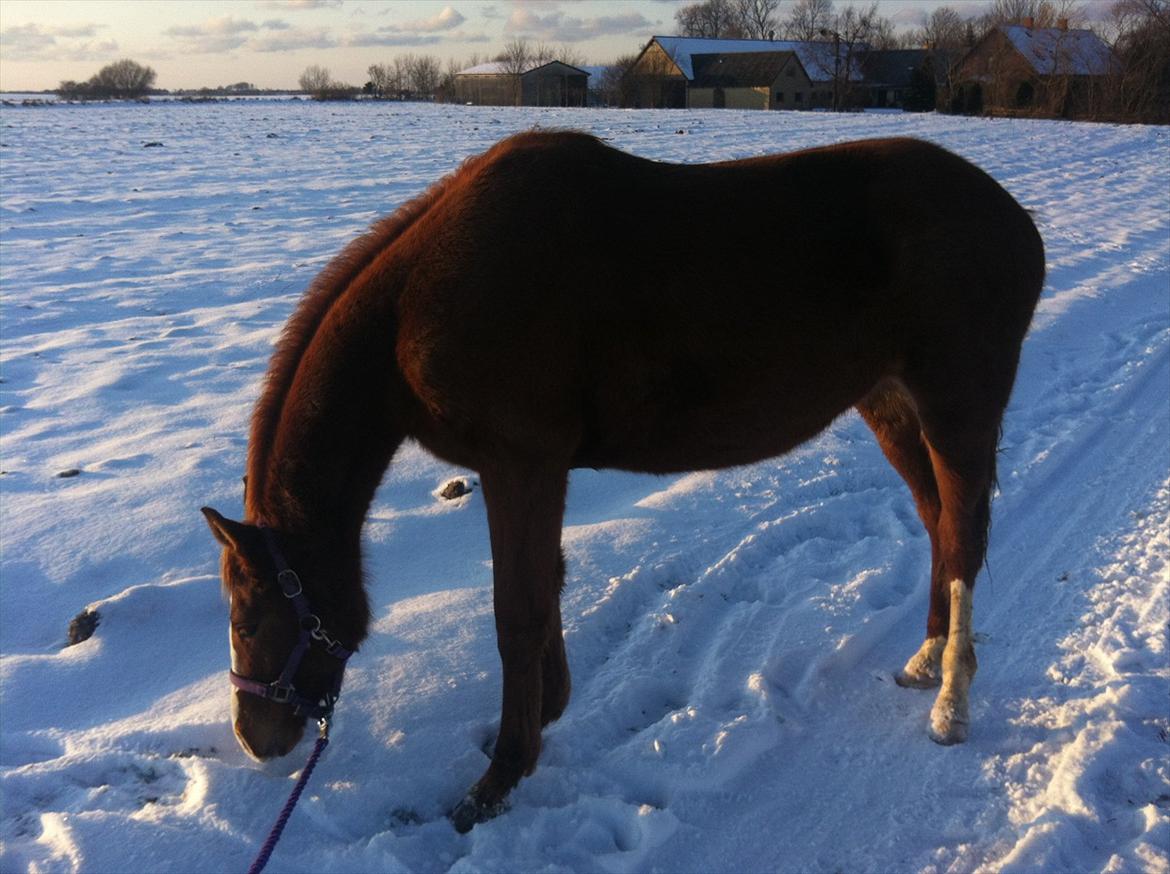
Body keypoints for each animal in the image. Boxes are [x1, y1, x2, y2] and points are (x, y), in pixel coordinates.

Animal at [201, 131, 1043, 833]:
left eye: (247, 614)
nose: (255, 739)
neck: (422, 299)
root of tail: (1015, 221)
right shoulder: (534, 471)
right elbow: (546, 587)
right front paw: (547, 712)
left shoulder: (520, 462)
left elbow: (518, 612)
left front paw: (500, 777)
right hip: (890, 404)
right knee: (939, 522)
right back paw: (928, 659)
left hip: (955, 408)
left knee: (961, 531)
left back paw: (952, 703)